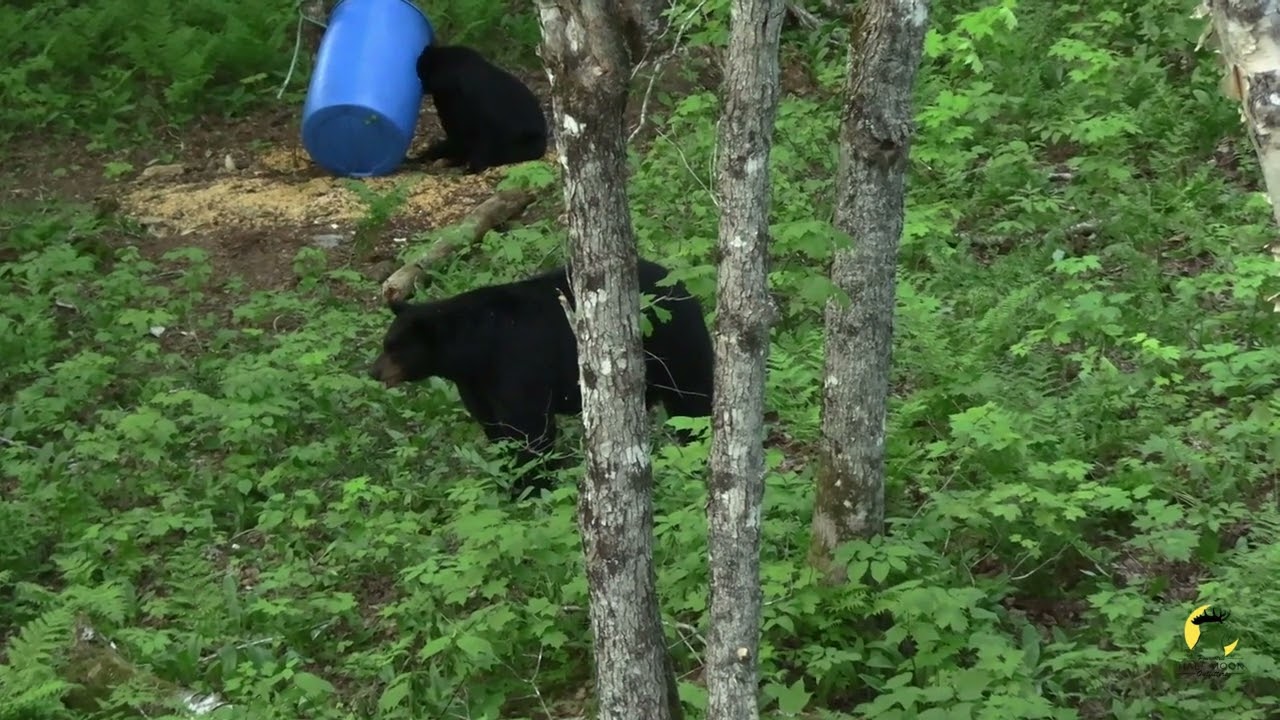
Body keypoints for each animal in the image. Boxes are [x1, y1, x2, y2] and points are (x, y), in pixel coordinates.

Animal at [368, 259, 714, 499]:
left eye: (394, 348)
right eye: (386, 344)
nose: (372, 371)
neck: (475, 349)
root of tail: (684, 288)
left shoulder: (518, 363)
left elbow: (529, 428)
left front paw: (534, 486)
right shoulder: (476, 384)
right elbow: (495, 427)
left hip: (676, 344)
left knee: (691, 399)